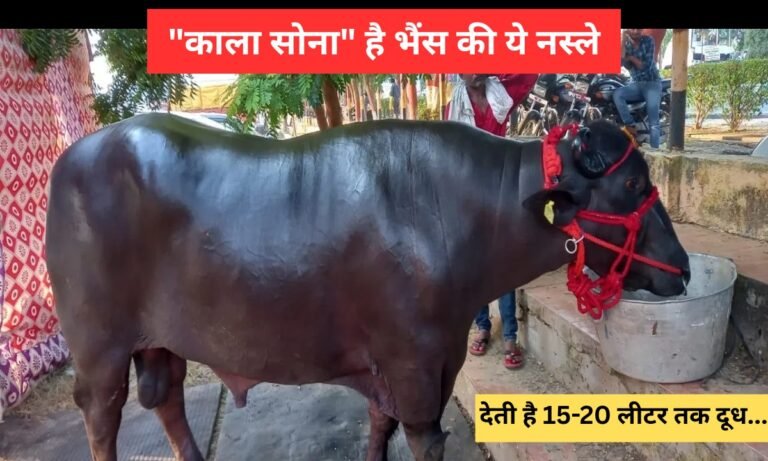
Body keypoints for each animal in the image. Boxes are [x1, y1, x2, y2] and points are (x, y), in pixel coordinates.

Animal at [45, 113, 690, 461]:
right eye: (633, 184)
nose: (682, 268)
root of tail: (73, 157)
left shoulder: (410, 360)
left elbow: (380, 427)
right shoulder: (413, 365)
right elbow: (424, 438)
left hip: (160, 340)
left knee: (166, 398)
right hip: (98, 348)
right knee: (102, 416)